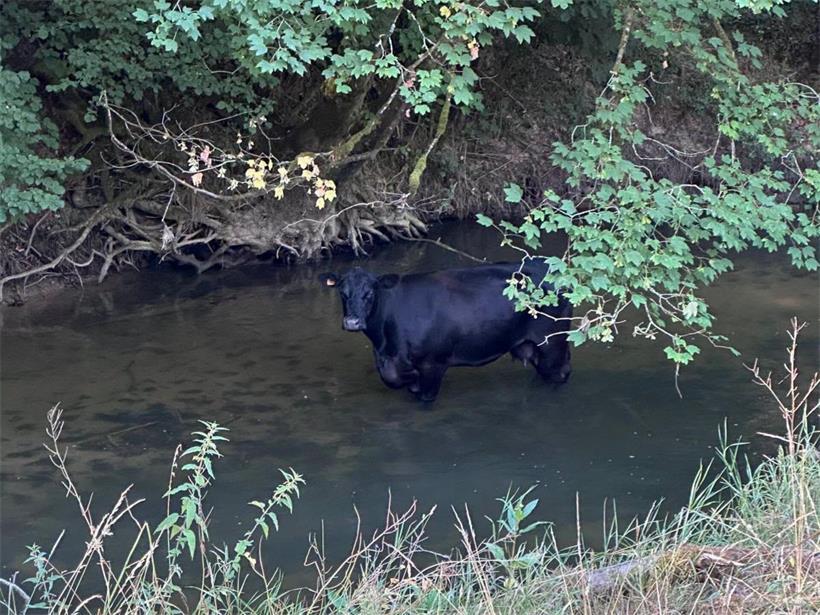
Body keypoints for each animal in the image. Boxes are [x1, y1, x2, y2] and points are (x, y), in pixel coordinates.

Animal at [320, 261, 573, 402]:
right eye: (342, 292)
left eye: (370, 292)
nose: (352, 322)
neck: (384, 345)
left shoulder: (432, 364)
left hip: (552, 344)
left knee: (560, 373)